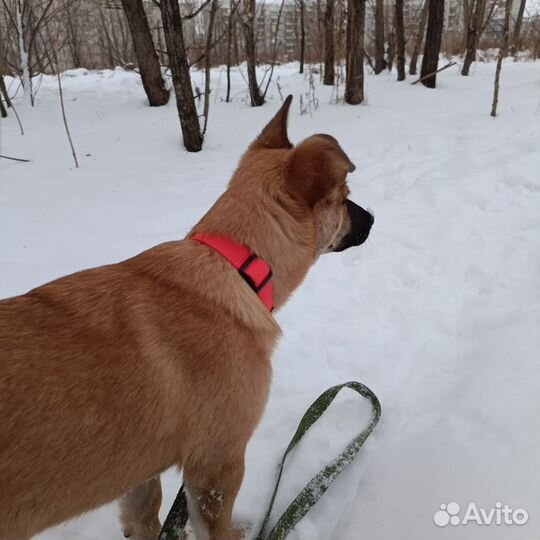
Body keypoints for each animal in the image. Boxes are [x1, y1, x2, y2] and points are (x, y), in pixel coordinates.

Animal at [0, 96, 374, 540]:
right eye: (344, 195)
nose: (372, 219)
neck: (235, 264)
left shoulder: (140, 475)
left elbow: (145, 518)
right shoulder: (217, 463)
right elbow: (216, 526)